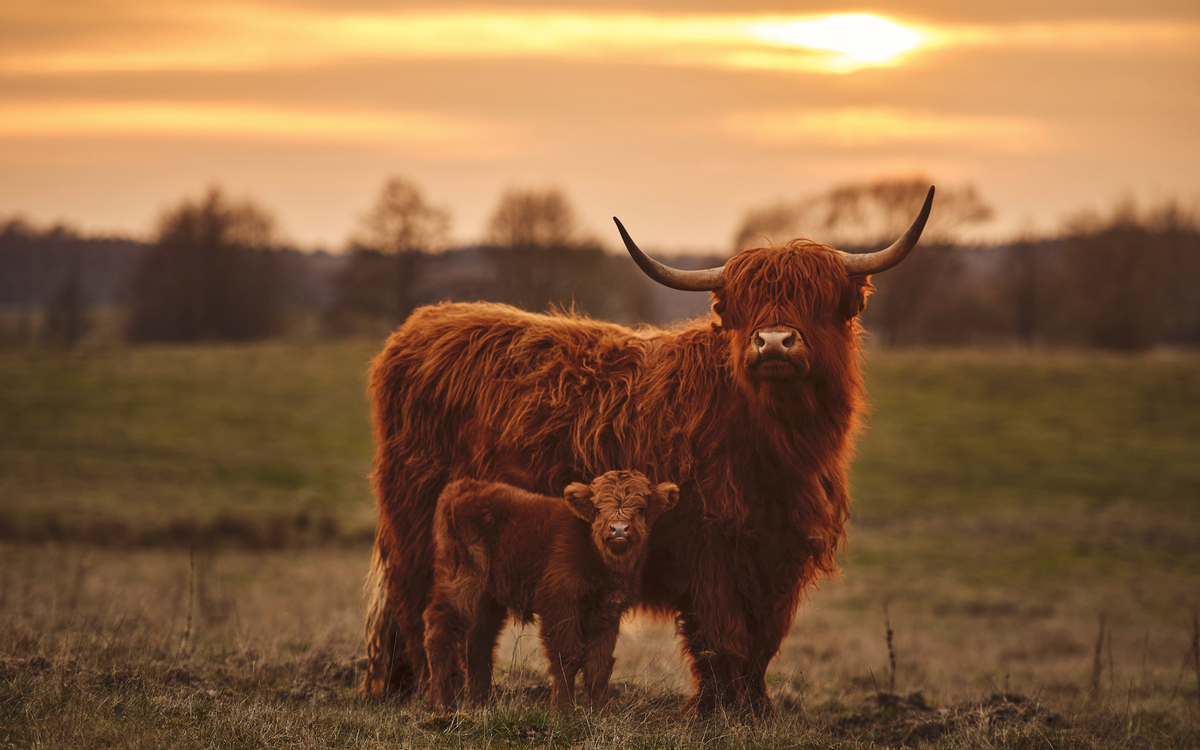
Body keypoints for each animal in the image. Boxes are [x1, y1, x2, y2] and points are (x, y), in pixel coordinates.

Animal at [424, 470, 681, 710]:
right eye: (598, 509)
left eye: (641, 508)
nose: (619, 529)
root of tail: (464, 486)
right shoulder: (560, 604)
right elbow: (567, 657)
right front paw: (562, 709)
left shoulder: (608, 611)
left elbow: (598, 664)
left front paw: (601, 710)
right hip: (462, 581)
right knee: (439, 631)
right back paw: (443, 704)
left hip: (487, 599)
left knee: (479, 641)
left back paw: (481, 703)